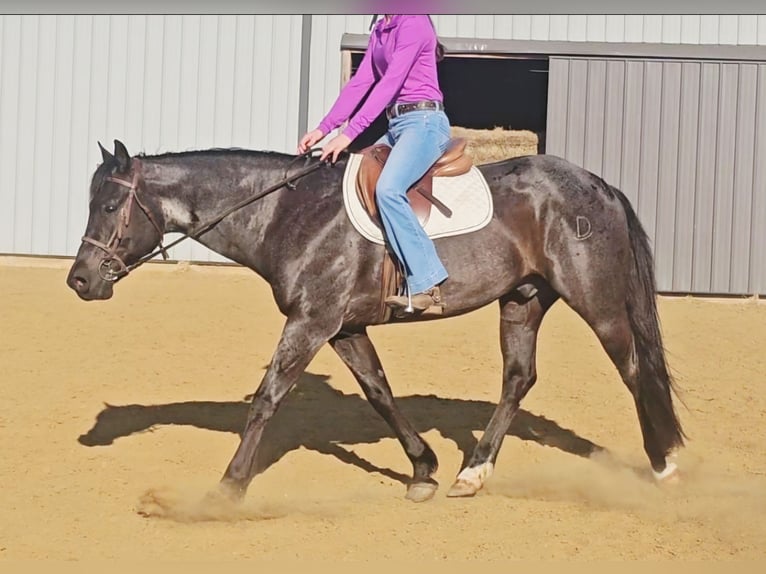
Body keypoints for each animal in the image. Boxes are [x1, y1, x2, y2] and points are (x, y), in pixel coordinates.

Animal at [66, 139, 684, 502]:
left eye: (108, 206)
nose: (79, 281)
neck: (287, 211)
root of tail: (598, 185)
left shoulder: (311, 322)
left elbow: (268, 397)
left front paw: (229, 487)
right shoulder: (342, 328)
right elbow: (380, 393)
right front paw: (423, 469)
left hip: (596, 302)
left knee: (634, 370)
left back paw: (662, 464)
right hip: (522, 300)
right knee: (518, 379)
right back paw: (472, 472)